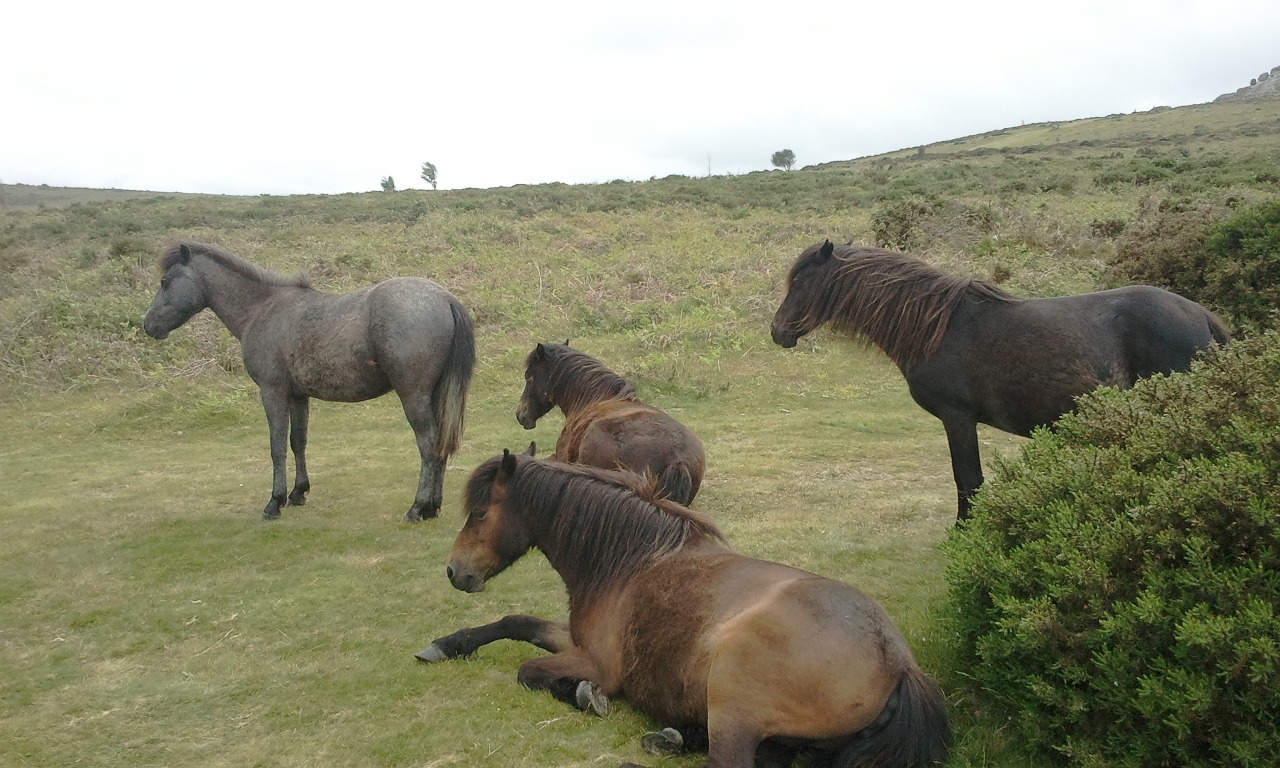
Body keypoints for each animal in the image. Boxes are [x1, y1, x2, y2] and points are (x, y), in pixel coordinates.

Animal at [419, 450, 952, 768]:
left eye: (479, 513)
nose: (454, 572)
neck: (630, 559)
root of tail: (899, 664)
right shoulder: (575, 640)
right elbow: (515, 622)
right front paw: (446, 644)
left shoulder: (596, 662)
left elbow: (530, 671)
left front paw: (584, 696)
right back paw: (674, 736)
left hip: (734, 700)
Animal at [768, 240, 1228, 522]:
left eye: (803, 281)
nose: (777, 331)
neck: (937, 327)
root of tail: (1201, 315)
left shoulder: (957, 418)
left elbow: (967, 480)